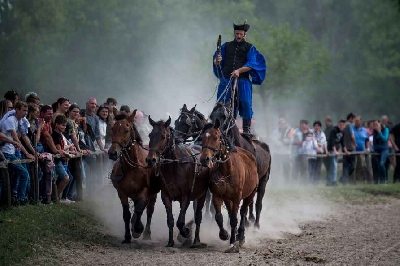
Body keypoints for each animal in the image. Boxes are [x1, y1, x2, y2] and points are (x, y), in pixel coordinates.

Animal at [108, 110, 162, 243]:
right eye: (112, 128)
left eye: (126, 130)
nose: (112, 153)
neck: (132, 168)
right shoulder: (122, 192)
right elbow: (126, 214)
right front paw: (127, 236)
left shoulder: (144, 191)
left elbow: (139, 209)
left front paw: (138, 229)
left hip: (153, 194)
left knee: (149, 210)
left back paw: (146, 233)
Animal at [146, 116, 209, 247]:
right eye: (150, 135)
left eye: (163, 136)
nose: (150, 159)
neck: (175, 164)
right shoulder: (166, 195)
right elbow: (170, 220)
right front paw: (170, 242)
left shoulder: (186, 195)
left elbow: (180, 222)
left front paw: (186, 232)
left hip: (202, 194)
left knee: (198, 216)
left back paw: (196, 240)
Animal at [200, 120, 260, 254]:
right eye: (202, 138)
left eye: (216, 137)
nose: (204, 159)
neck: (226, 169)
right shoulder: (217, 195)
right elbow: (219, 217)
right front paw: (224, 234)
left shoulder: (237, 196)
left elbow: (234, 218)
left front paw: (233, 242)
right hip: (228, 198)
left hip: (251, 193)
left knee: (243, 212)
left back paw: (241, 236)